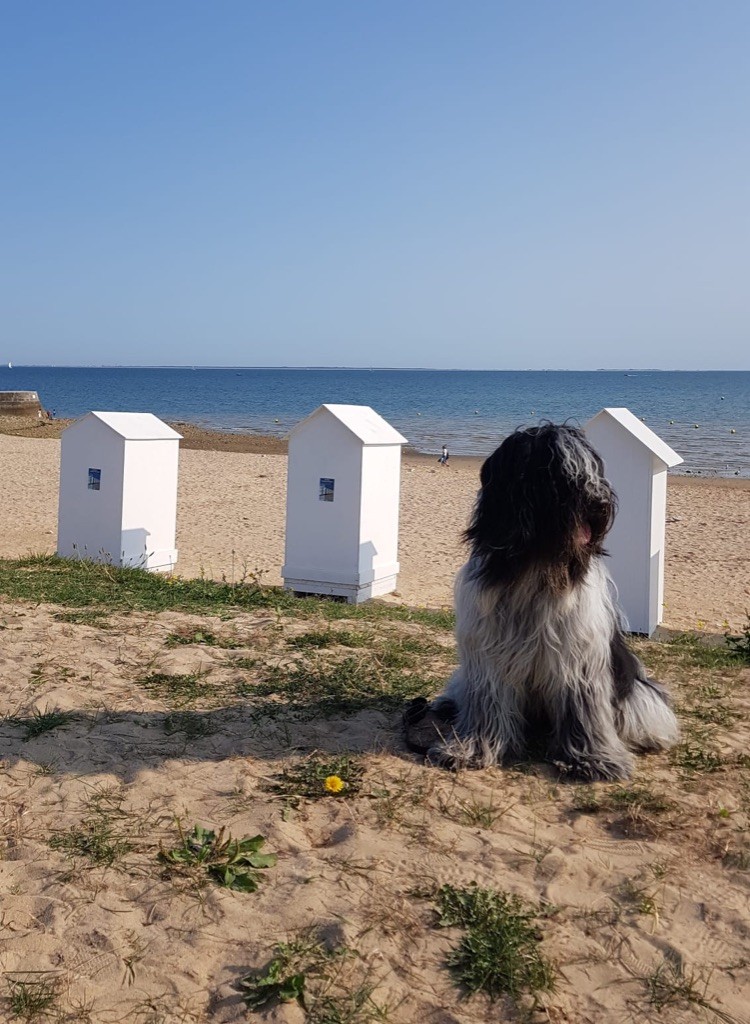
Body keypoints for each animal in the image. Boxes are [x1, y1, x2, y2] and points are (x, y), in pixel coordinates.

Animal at [403, 419, 680, 778]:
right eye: (558, 474)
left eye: (595, 468)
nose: (601, 503)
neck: (538, 564)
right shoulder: (489, 652)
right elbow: (486, 706)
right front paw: (472, 749)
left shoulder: (579, 655)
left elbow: (583, 710)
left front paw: (593, 758)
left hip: (635, 689)